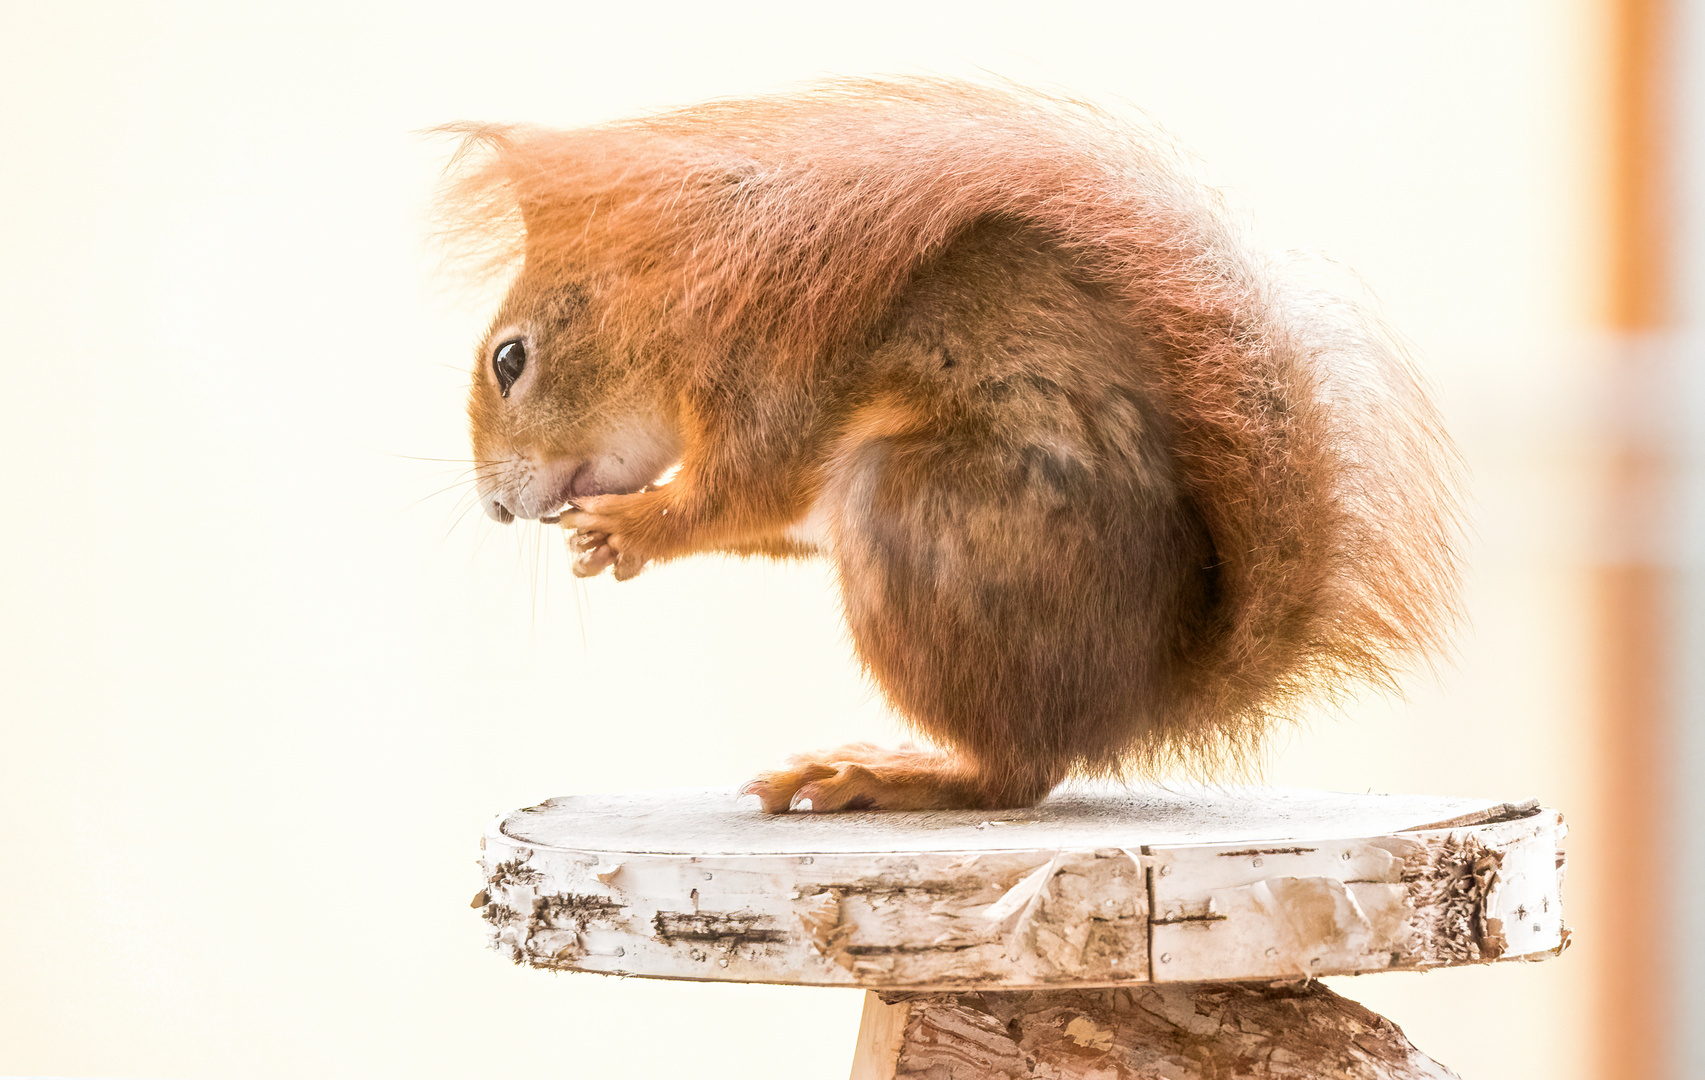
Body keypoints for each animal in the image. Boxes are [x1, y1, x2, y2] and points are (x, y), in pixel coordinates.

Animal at [443, 78, 1466, 808]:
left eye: (510, 360)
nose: (494, 509)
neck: (696, 313)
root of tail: (1138, 693)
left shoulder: (773, 390)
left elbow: (740, 494)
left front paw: (633, 527)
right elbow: (767, 525)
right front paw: (603, 542)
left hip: (910, 509)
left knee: (1017, 774)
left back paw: (882, 774)